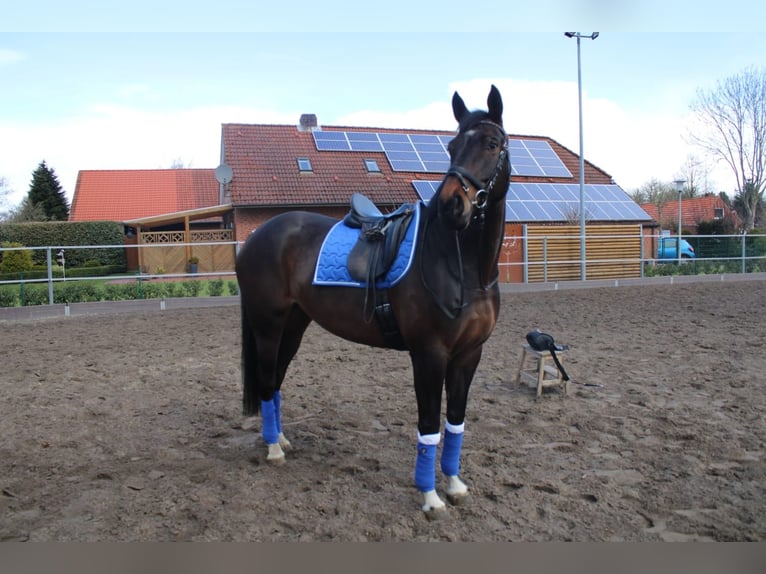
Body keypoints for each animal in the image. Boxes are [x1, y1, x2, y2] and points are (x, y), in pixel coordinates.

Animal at [236, 85, 510, 516]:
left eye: (492, 143)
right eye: (451, 147)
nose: (452, 205)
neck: (461, 265)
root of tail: (257, 236)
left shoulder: (469, 354)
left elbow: (455, 422)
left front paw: (453, 484)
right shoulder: (429, 354)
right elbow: (429, 426)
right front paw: (430, 497)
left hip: (294, 325)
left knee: (275, 380)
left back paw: (280, 439)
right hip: (268, 325)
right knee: (266, 378)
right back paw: (273, 450)